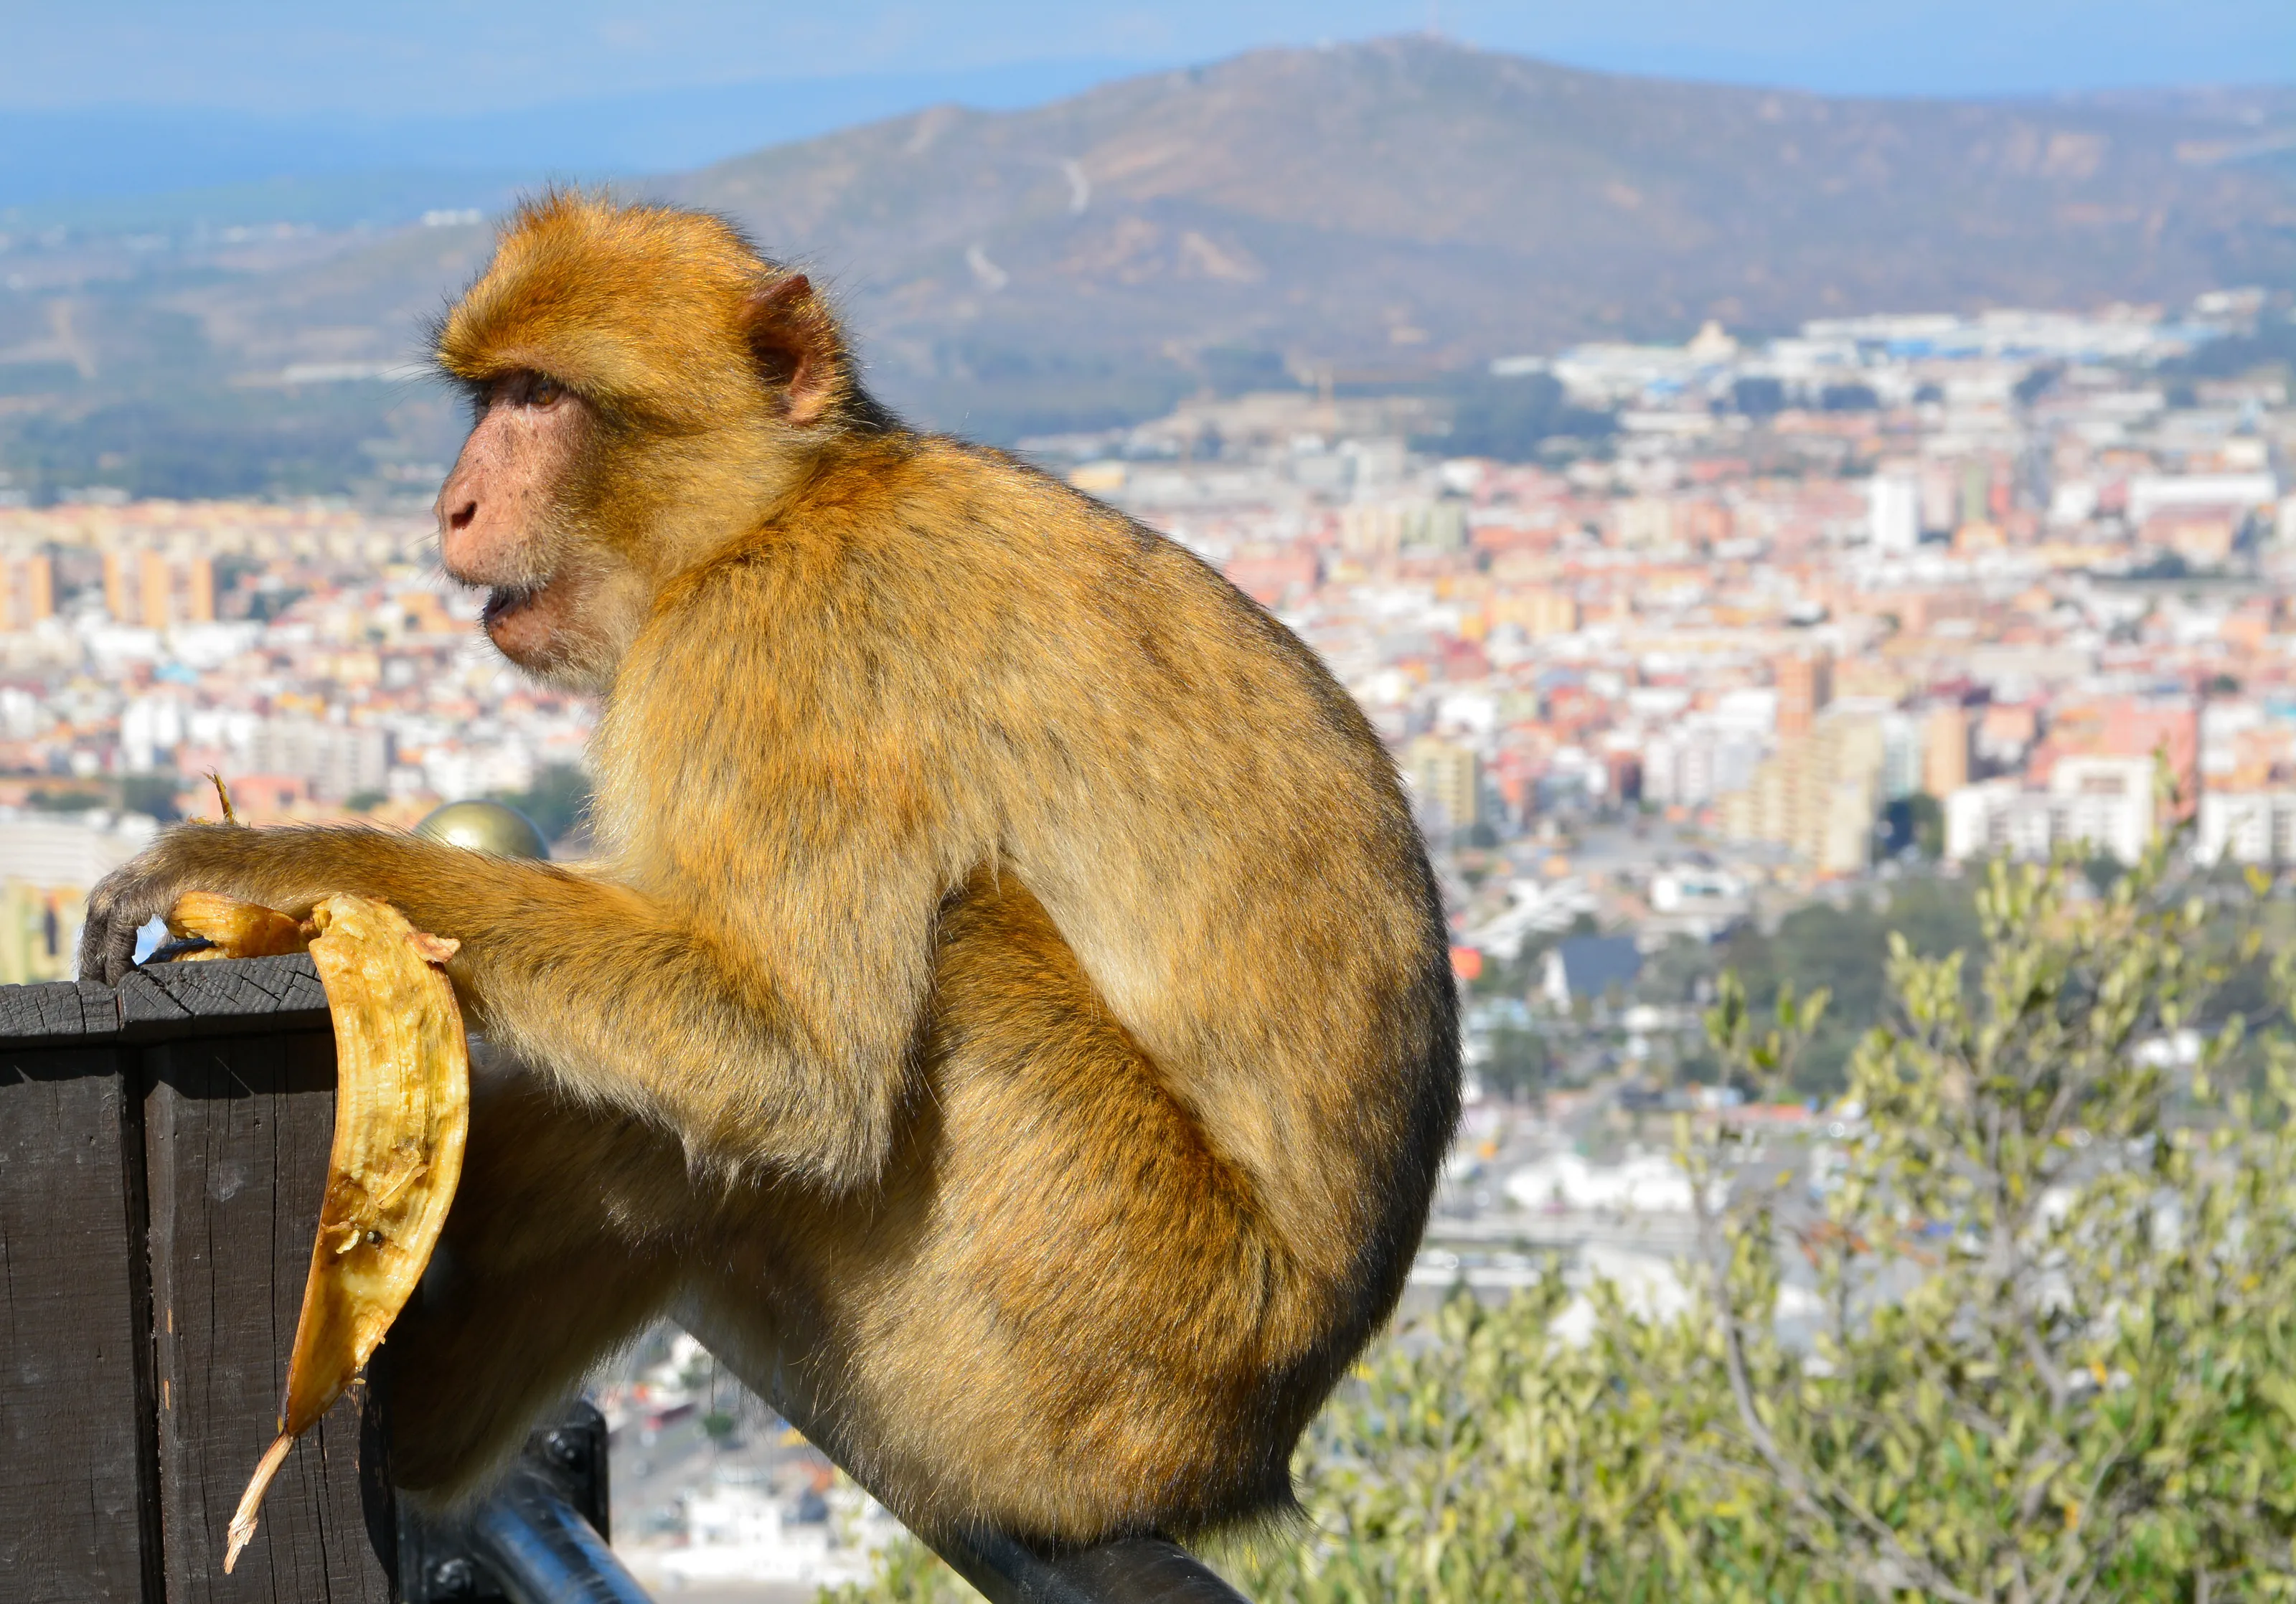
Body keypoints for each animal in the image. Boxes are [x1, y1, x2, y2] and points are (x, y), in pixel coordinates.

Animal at [81, 192, 1460, 1546]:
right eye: (488, 399)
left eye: (539, 397)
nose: (453, 506)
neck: (774, 509)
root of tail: (1245, 1463)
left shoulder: (771, 650)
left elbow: (792, 1061)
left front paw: (275, 863)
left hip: (1082, 1348)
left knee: (942, 963)